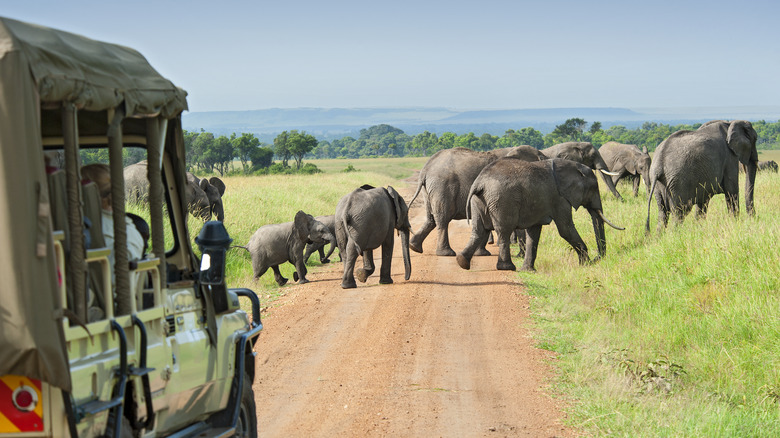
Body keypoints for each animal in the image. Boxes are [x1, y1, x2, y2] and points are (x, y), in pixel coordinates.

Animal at [408, 145, 544, 255]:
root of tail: (425, 169)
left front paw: (482, 253)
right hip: (442, 187)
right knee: (443, 219)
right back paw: (446, 253)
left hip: (429, 189)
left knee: (431, 219)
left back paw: (414, 247)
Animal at [458, 157, 620, 272]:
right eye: (594, 188)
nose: (597, 259)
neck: (572, 166)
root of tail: (480, 182)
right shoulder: (559, 198)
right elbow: (565, 229)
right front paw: (585, 265)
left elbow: (534, 232)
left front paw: (528, 271)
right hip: (502, 200)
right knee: (503, 231)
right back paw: (507, 267)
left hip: (479, 201)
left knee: (479, 230)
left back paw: (462, 261)